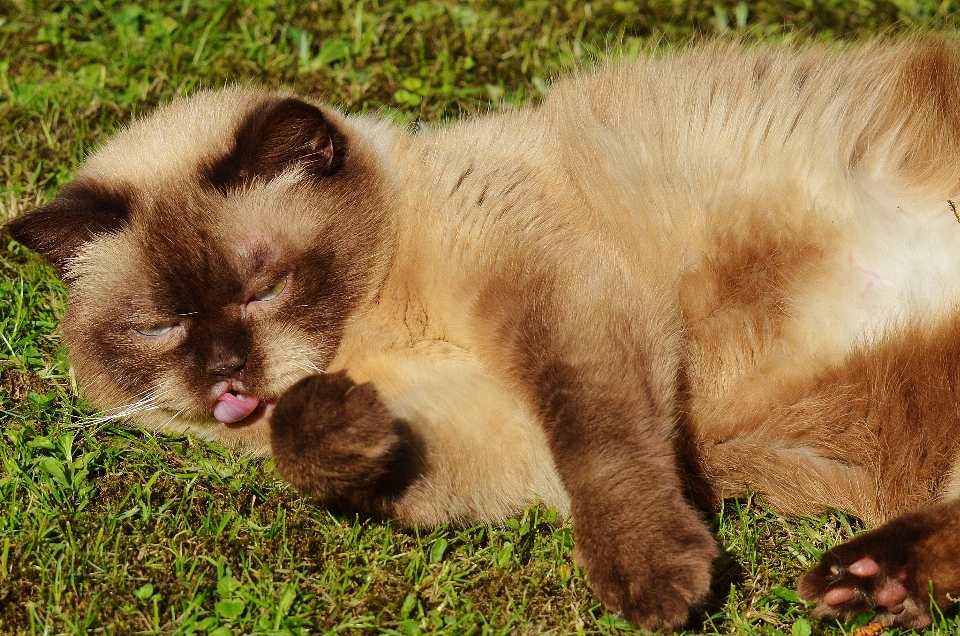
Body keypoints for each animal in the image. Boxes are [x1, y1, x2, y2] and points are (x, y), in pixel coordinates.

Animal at [11, 39, 960, 632]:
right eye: (160, 326)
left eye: (264, 287)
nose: (225, 375)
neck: (378, 329)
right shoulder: (488, 437)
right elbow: (324, 455)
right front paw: (334, 425)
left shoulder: (555, 301)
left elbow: (600, 443)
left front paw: (655, 584)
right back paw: (875, 586)